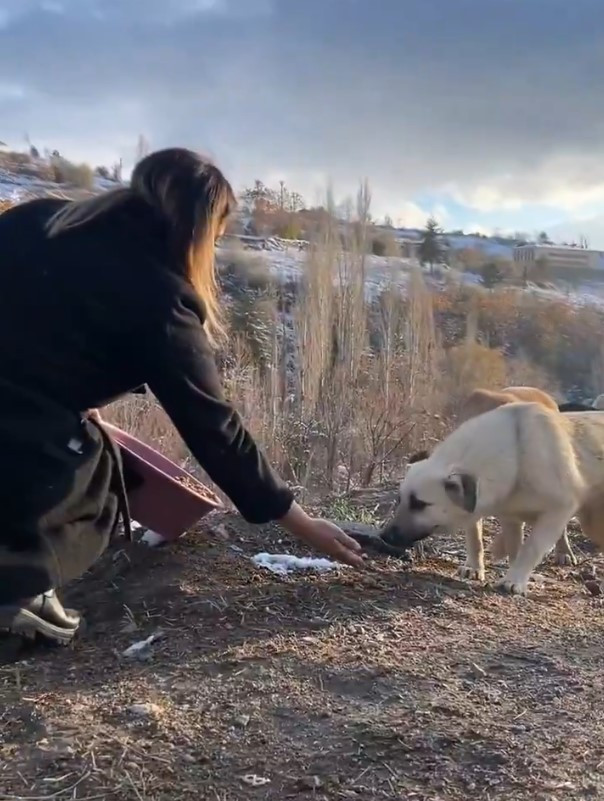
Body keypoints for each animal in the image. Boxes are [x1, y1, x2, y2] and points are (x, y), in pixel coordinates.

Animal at [382, 404, 604, 592]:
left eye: (419, 504)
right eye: (400, 500)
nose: (384, 536)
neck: (517, 453)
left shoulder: (558, 510)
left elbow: (531, 548)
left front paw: (514, 581)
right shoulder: (509, 516)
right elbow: (495, 544)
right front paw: (481, 569)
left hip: (590, 524)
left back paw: (565, 553)